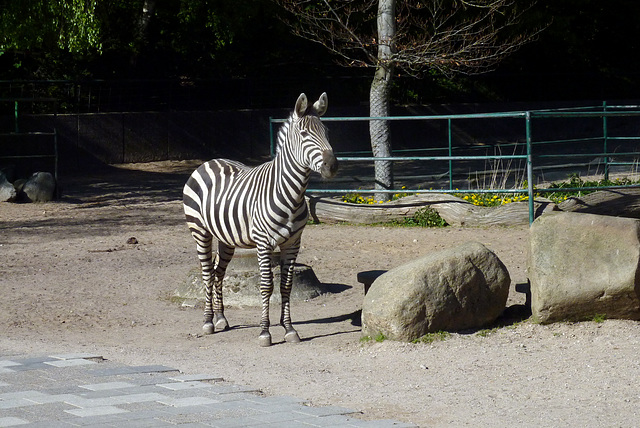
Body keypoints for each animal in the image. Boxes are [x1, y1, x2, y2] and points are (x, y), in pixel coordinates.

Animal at [181, 92, 338, 346]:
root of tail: (210, 161)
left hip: (226, 238)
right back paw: (208, 322)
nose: (332, 166)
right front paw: (265, 332)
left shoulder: (293, 243)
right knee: (207, 273)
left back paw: (221, 318)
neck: (291, 194)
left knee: (218, 273)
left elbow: (286, 286)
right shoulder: (264, 243)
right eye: (304, 134)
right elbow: (266, 286)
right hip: (200, 231)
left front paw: (289, 329)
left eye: (326, 132)